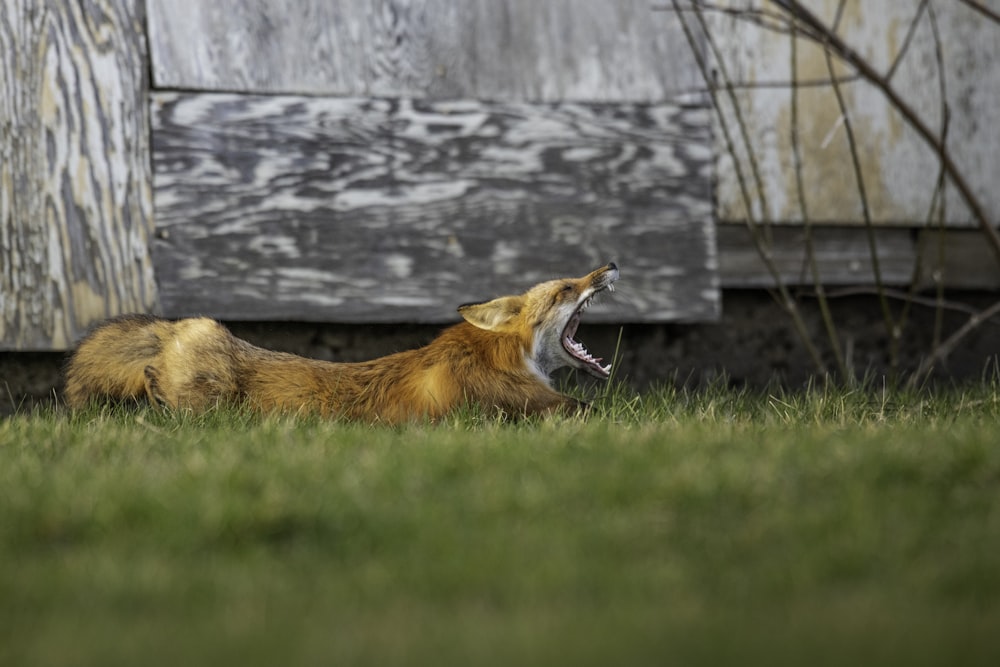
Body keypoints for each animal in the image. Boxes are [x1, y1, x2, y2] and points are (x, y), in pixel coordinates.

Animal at [64, 260, 616, 422]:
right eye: (566, 289)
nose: (608, 266)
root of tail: (185, 325)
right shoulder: (527, 403)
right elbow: (592, 411)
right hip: (211, 397)